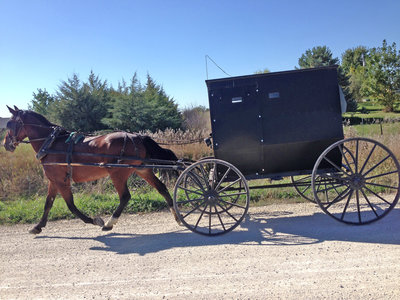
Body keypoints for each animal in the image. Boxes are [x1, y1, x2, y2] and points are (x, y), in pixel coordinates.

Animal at [2, 105, 181, 234]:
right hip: (141, 170)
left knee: (125, 196)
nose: (5, 144)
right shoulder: (53, 180)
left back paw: (109, 223)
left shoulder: (61, 181)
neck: (51, 143)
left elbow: (71, 205)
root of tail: (137, 136)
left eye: (10, 124)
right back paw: (177, 216)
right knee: (161, 188)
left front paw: (94, 220)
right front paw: (38, 226)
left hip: (118, 173)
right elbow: (48, 204)